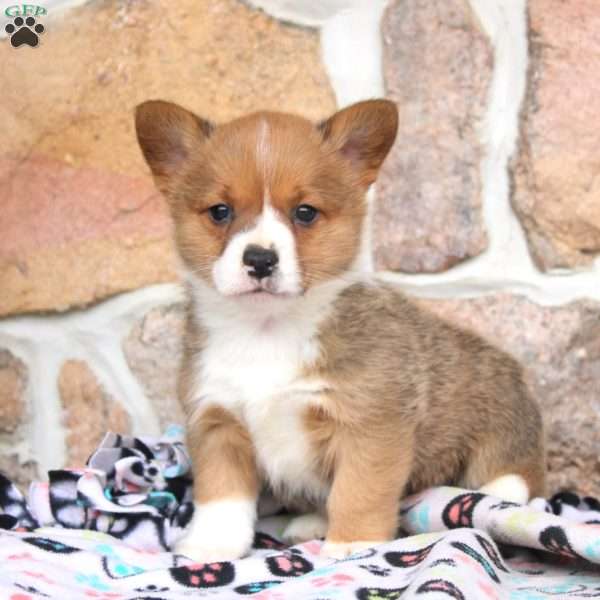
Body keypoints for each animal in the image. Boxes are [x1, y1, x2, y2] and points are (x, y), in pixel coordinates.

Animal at [134, 98, 548, 564]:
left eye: (305, 213)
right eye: (220, 211)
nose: (259, 260)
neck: (267, 329)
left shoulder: (369, 426)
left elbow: (359, 490)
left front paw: (354, 543)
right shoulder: (217, 424)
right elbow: (221, 498)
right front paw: (212, 546)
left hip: (499, 431)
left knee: (518, 476)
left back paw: (495, 493)